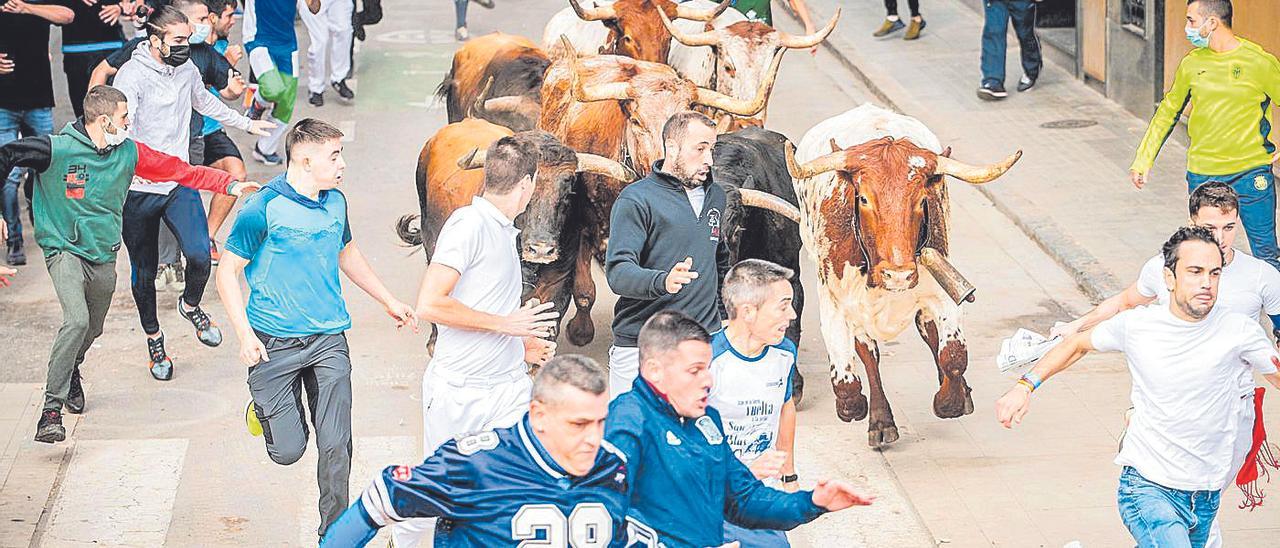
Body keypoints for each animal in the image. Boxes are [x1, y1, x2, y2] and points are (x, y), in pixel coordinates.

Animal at [778, 104, 1018, 448]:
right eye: (864, 198)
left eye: (920, 200)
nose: (898, 274)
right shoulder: (836, 301)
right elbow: (849, 383)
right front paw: (865, 411)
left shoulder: (941, 290)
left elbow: (953, 355)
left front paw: (951, 401)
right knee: (869, 354)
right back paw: (881, 421)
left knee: (929, 333)